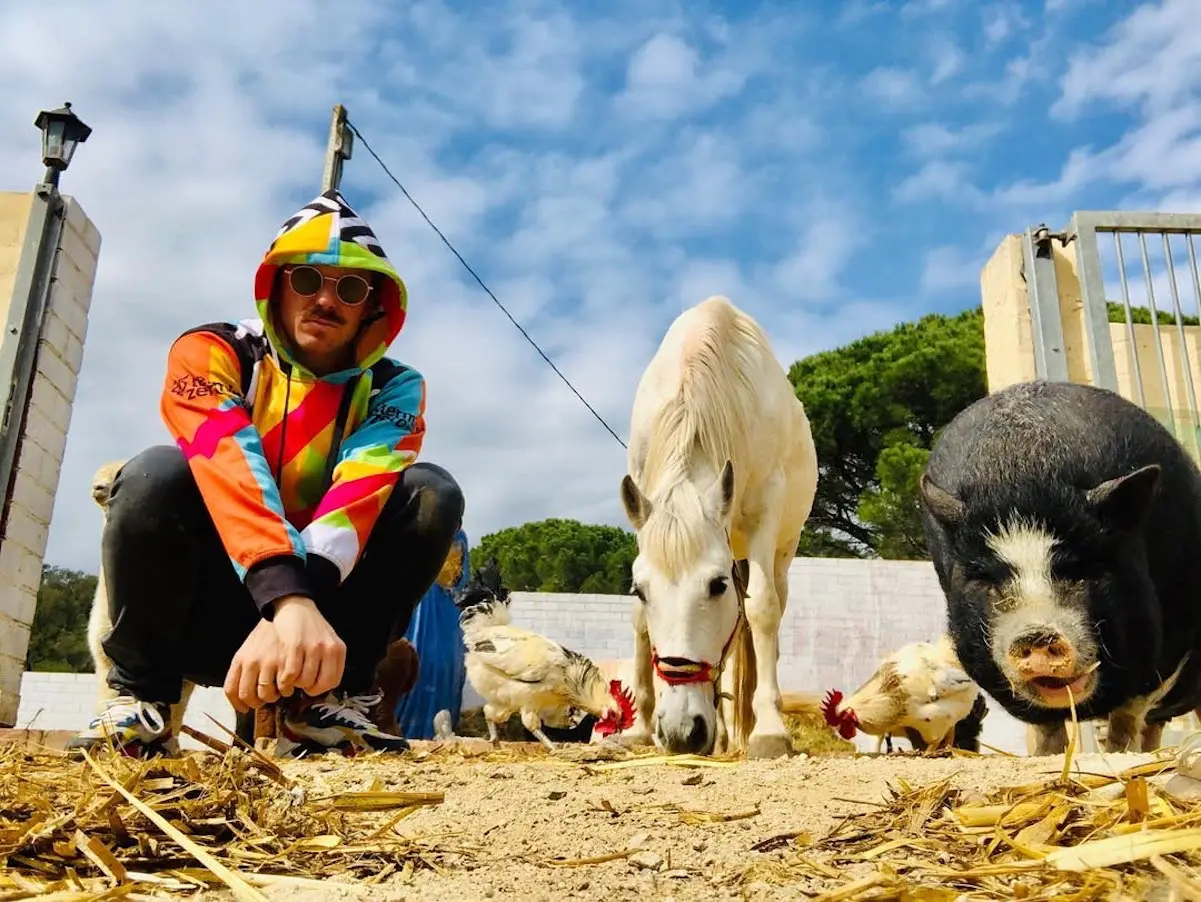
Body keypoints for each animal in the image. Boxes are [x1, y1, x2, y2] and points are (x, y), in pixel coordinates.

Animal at [619, 297, 816, 763]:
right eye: (640, 590)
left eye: (717, 585)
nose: (679, 731)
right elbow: (639, 623)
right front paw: (637, 728)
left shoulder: (764, 513)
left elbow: (762, 611)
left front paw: (770, 731)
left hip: (780, 550)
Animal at [912, 377, 1201, 759]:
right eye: (988, 579)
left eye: (1080, 570)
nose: (1035, 635)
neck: (1020, 468)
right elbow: (1046, 725)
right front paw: (1046, 757)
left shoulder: (1170, 641)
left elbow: (1129, 712)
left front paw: (1118, 754)